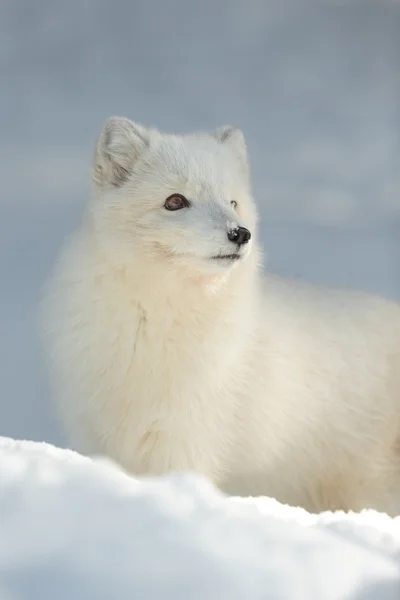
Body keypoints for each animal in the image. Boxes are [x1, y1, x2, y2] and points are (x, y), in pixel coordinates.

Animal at [40, 118, 400, 516]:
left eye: (232, 202)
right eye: (175, 201)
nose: (240, 233)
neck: (152, 328)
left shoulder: (185, 440)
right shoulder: (99, 436)